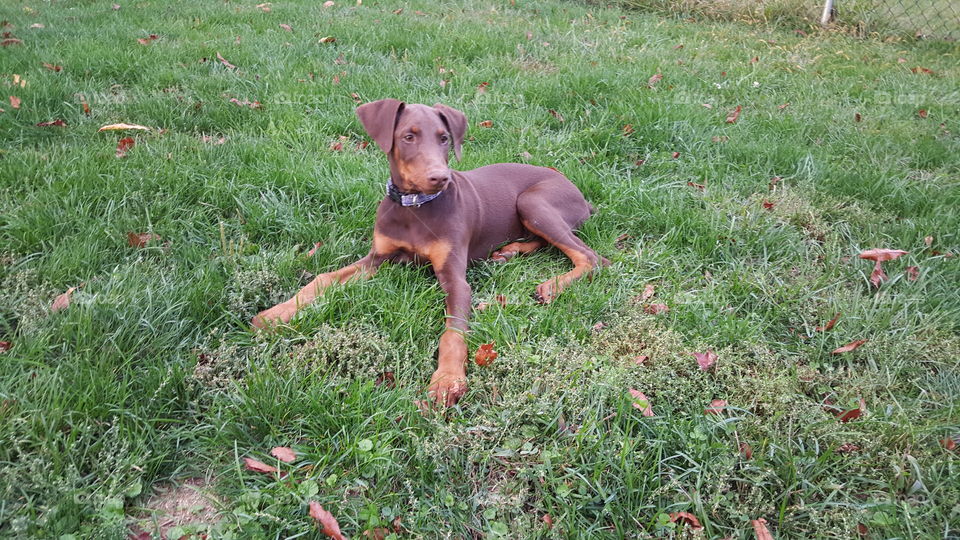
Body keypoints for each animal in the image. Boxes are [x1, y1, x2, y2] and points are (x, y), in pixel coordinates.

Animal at [251, 100, 604, 404]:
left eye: (444, 138)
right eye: (408, 137)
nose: (441, 178)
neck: (414, 208)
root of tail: (581, 196)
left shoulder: (455, 278)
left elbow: (453, 334)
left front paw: (447, 381)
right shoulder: (377, 257)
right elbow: (323, 278)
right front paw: (276, 314)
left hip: (533, 201)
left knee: (593, 257)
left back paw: (551, 285)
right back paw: (510, 251)